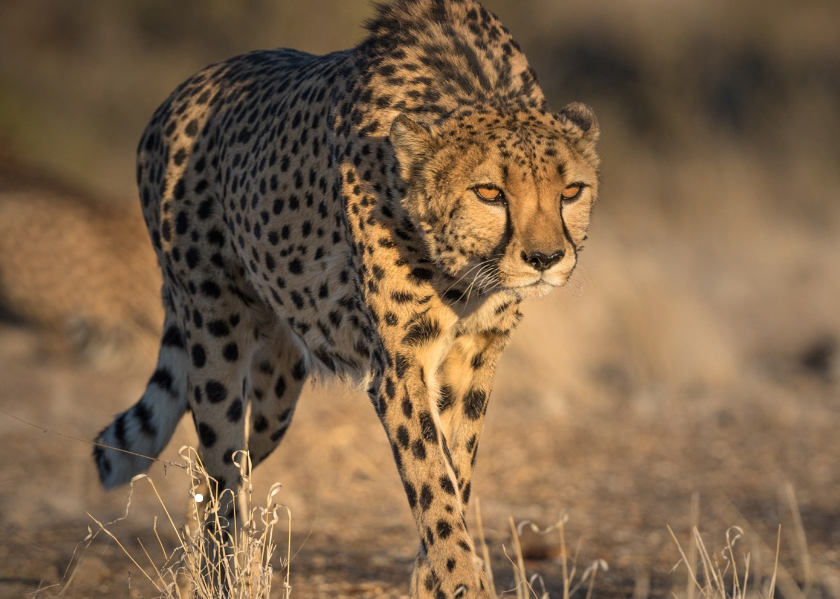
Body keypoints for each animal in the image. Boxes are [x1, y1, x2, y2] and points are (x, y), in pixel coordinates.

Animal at [95, 2, 600, 596]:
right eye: (489, 193)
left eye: (571, 191)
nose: (546, 258)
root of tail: (177, 96)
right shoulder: (399, 363)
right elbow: (431, 477)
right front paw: (459, 577)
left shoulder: (475, 352)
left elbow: (455, 465)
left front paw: (435, 574)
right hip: (214, 334)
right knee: (217, 469)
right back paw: (220, 575)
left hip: (277, 388)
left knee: (226, 462)